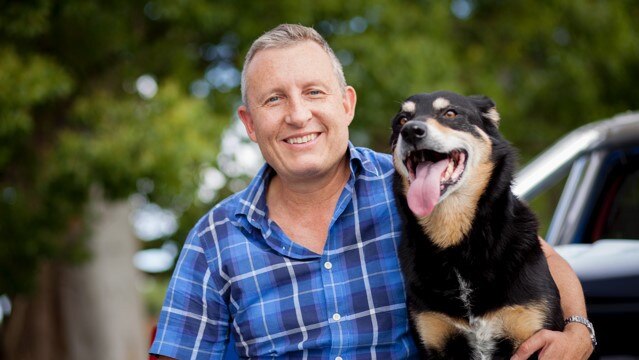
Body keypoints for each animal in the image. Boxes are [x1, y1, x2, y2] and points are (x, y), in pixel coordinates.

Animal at [390, 91, 564, 358]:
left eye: (450, 113)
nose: (411, 131)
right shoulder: (434, 337)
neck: (456, 245)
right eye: (401, 120)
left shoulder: (535, 334)